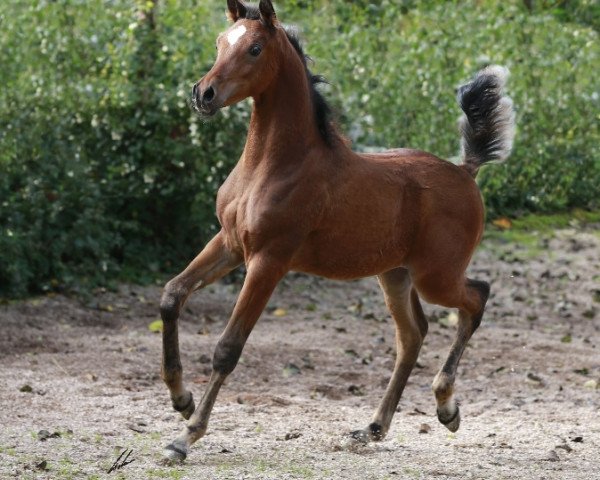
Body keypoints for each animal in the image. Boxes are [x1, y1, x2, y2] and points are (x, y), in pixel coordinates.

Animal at [159, 0, 516, 462]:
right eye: (221, 42)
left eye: (255, 49)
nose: (203, 94)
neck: (274, 165)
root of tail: (465, 171)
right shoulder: (229, 244)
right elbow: (172, 296)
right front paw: (181, 399)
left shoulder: (268, 261)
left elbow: (227, 349)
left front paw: (186, 436)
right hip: (394, 274)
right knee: (412, 335)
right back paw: (373, 428)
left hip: (436, 276)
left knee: (476, 298)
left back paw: (446, 406)